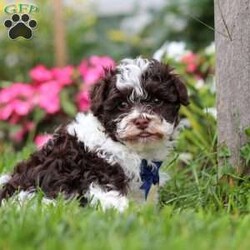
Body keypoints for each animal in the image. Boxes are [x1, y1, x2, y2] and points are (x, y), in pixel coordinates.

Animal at [0, 57, 188, 212]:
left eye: (157, 101)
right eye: (122, 105)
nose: (141, 121)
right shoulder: (96, 171)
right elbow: (106, 192)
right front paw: (123, 212)